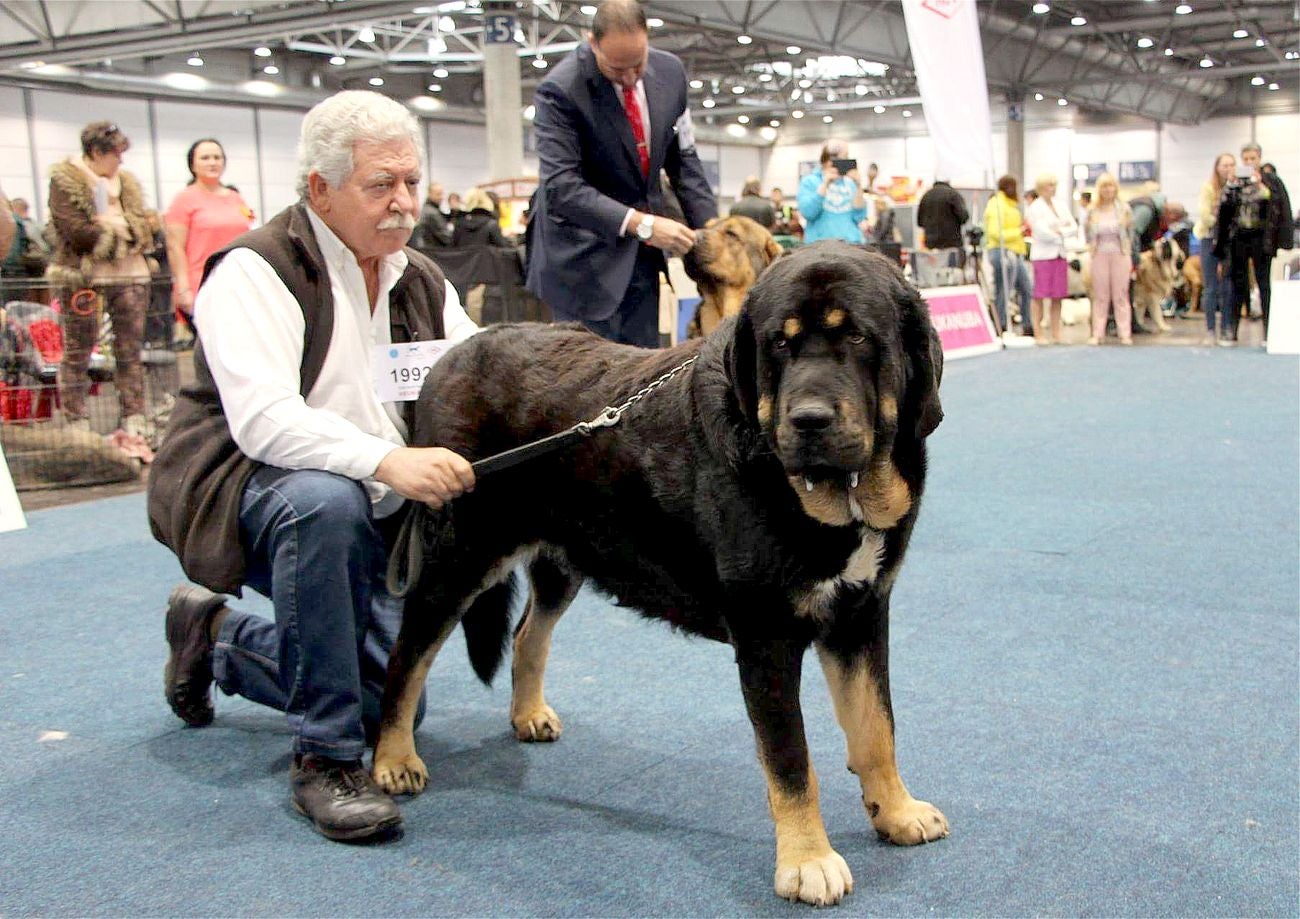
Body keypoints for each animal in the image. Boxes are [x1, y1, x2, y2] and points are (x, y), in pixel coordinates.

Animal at [374, 239, 946, 904]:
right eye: (779, 345)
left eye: (856, 337)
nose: (808, 419)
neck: (836, 499)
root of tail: (450, 357)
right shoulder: (767, 637)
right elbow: (790, 758)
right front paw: (808, 860)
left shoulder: (860, 613)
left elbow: (877, 727)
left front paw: (897, 812)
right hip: (456, 558)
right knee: (407, 657)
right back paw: (393, 759)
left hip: (569, 558)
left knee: (527, 634)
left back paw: (528, 714)